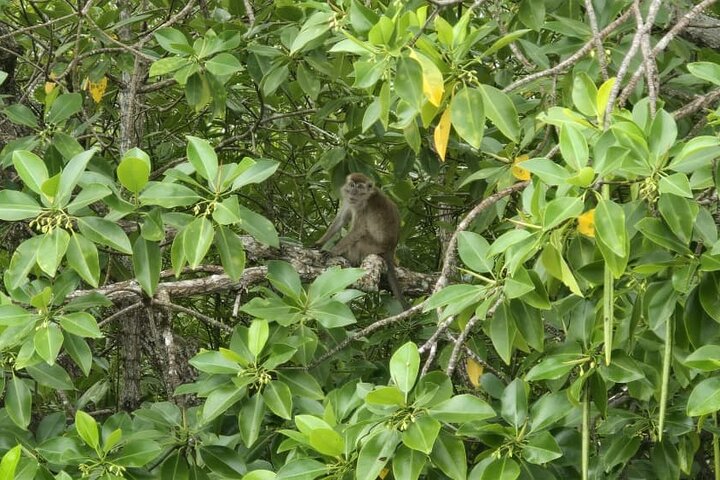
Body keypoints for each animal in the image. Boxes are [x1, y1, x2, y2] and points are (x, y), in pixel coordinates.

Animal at [316, 172, 406, 307]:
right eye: (352, 185)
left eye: (359, 187)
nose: (353, 192)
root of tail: (391, 249)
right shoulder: (349, 200)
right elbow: (341, 220)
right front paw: (319, 243)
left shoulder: (362, 207)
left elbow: (358, 230)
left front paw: (332, 252)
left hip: (373, 247)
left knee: (357, 242)